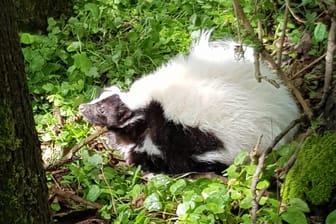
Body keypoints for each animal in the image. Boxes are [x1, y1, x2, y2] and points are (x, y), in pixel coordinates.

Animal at [78, 30, 300, 173]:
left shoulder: (173, 134)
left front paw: (138, 159)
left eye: (102, 110)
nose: (81, 107)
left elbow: (170, 158)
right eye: (99, 99)